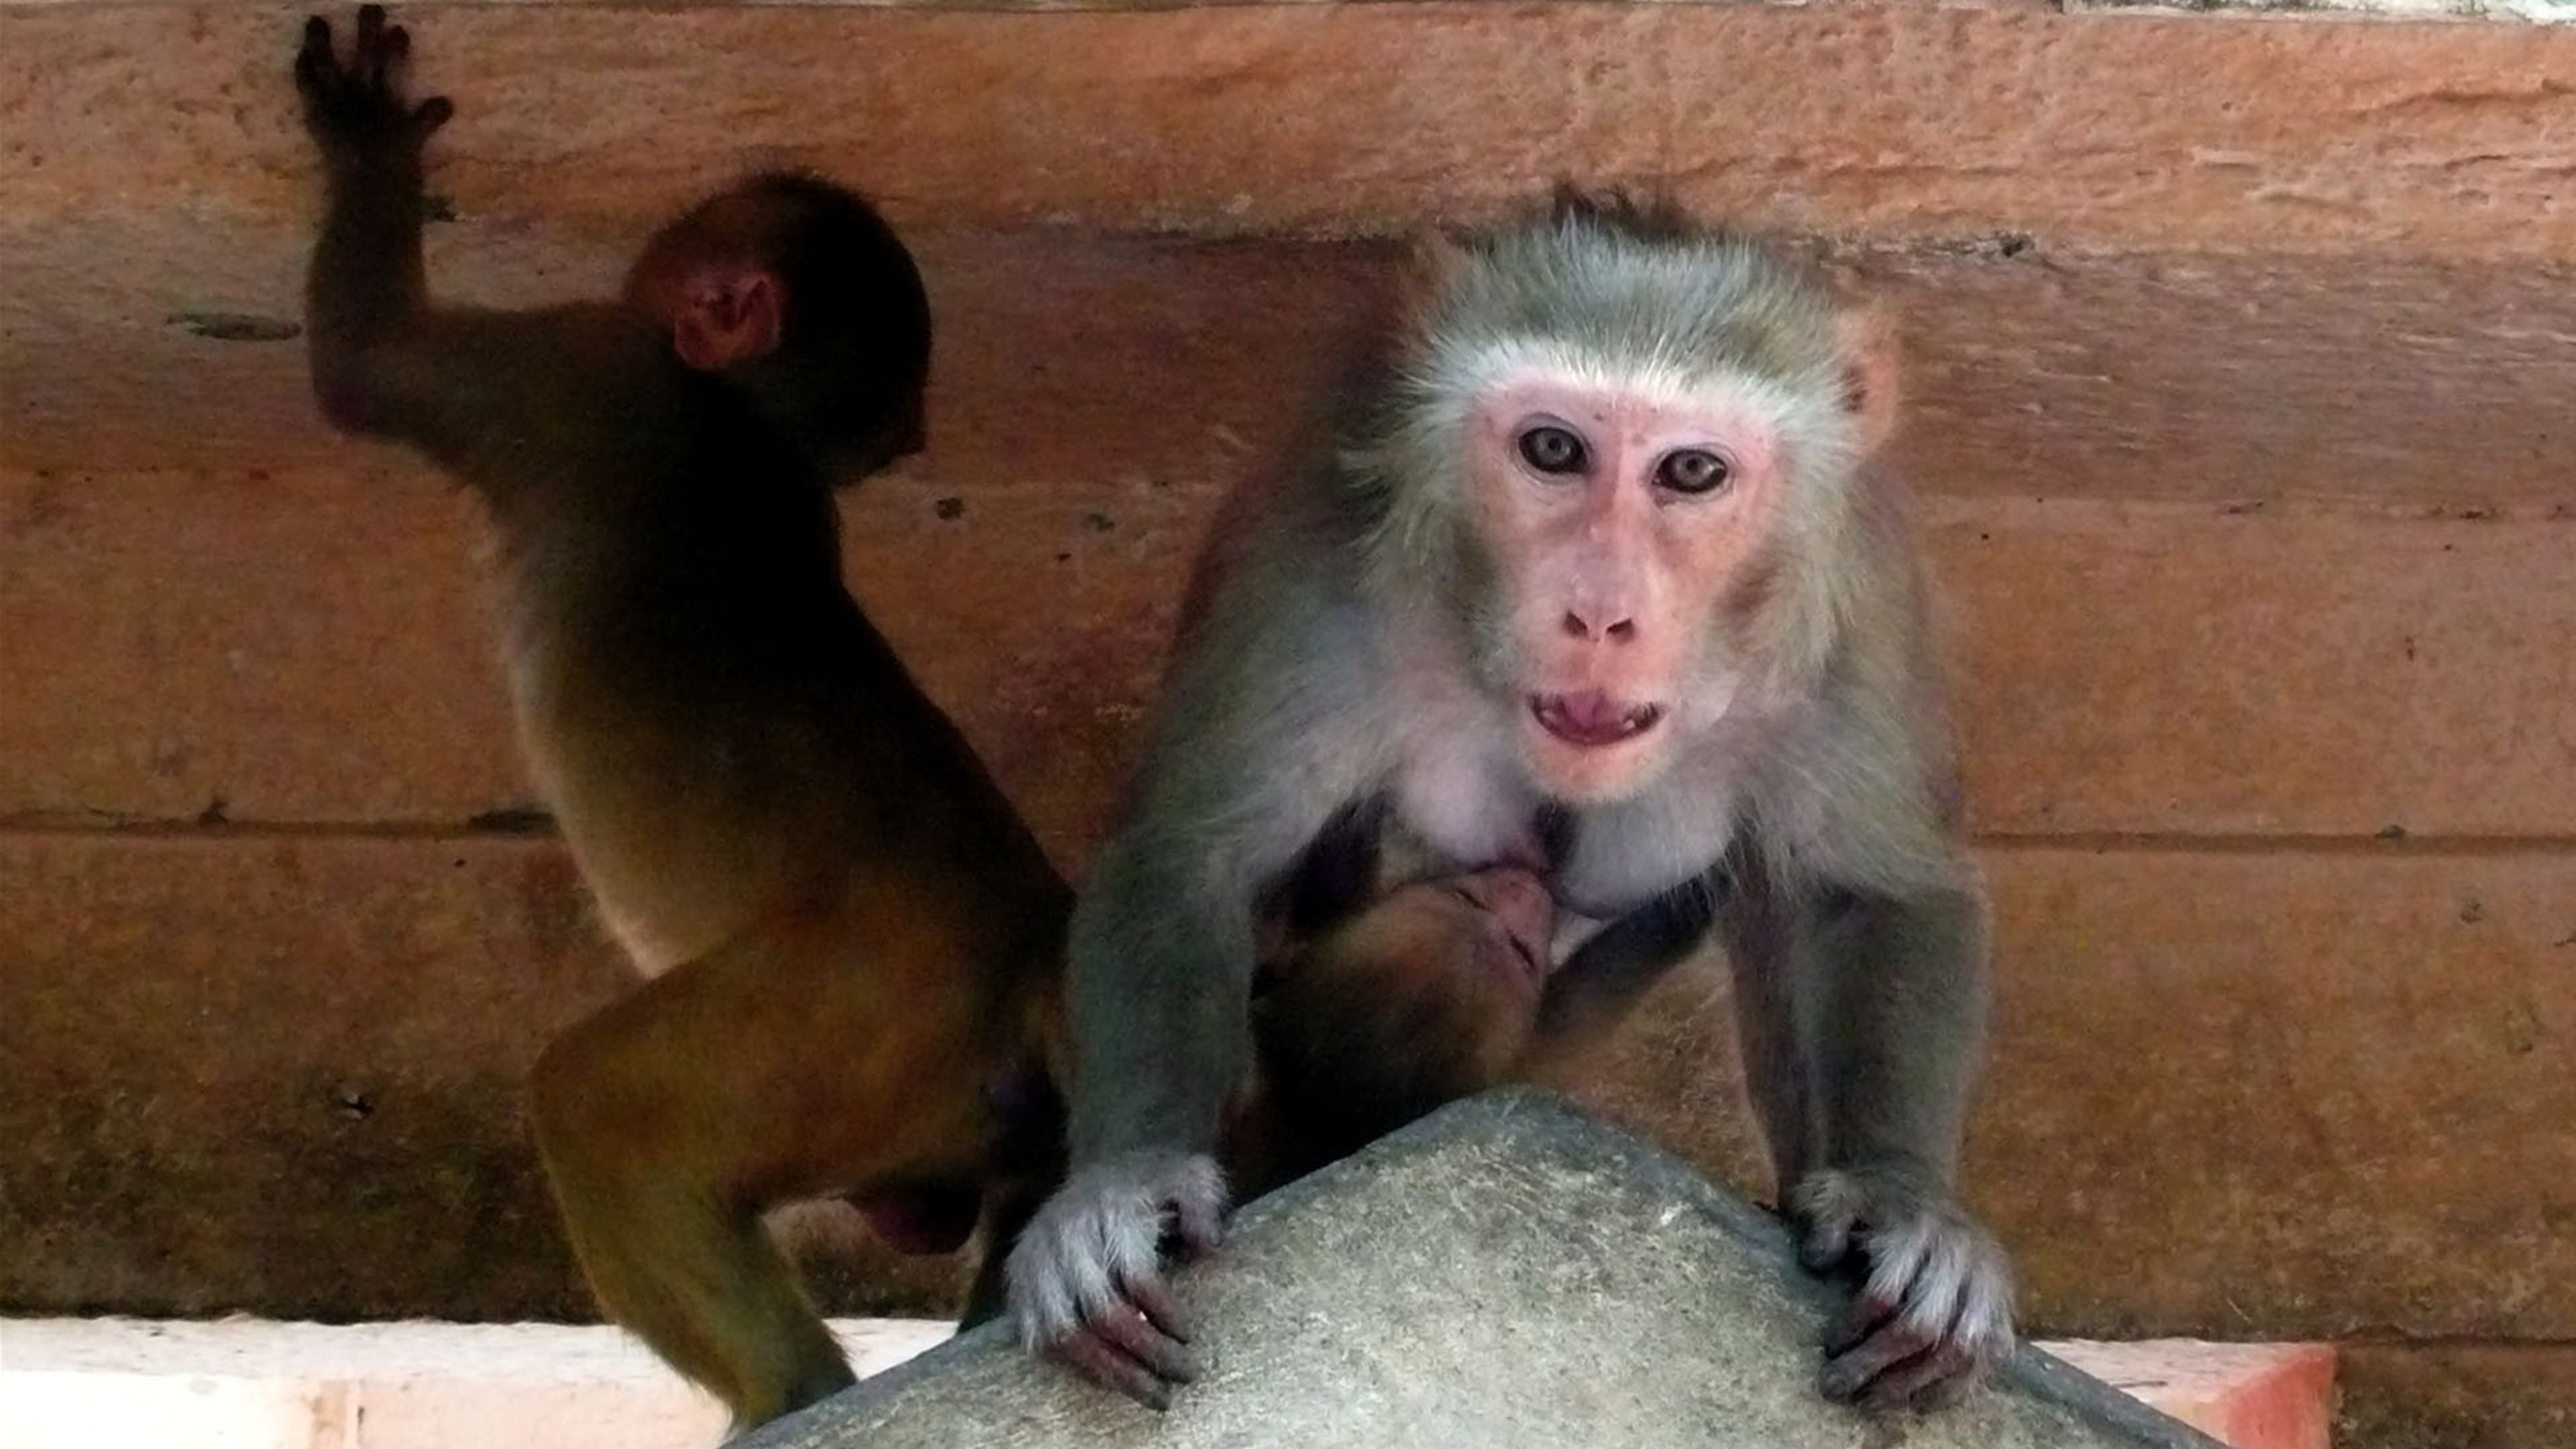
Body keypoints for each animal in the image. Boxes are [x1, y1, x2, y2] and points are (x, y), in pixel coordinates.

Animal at [295, 9, 1074, 1431]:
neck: (739, 418)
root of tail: (1031, 946)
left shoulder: (577, 367)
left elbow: (367, 365)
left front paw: (369, 152)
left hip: (845, 1021)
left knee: (598, 1105)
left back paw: (792, 1393)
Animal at [1006, 191, 2016, 1416]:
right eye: (1553, 450)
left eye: (1691, 472)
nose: (1600, 614)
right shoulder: (1326, 565)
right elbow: (1195, 852)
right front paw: (1131, 1182)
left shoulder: (1854, 605)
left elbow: (1873, 890)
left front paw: (1900, 1201)